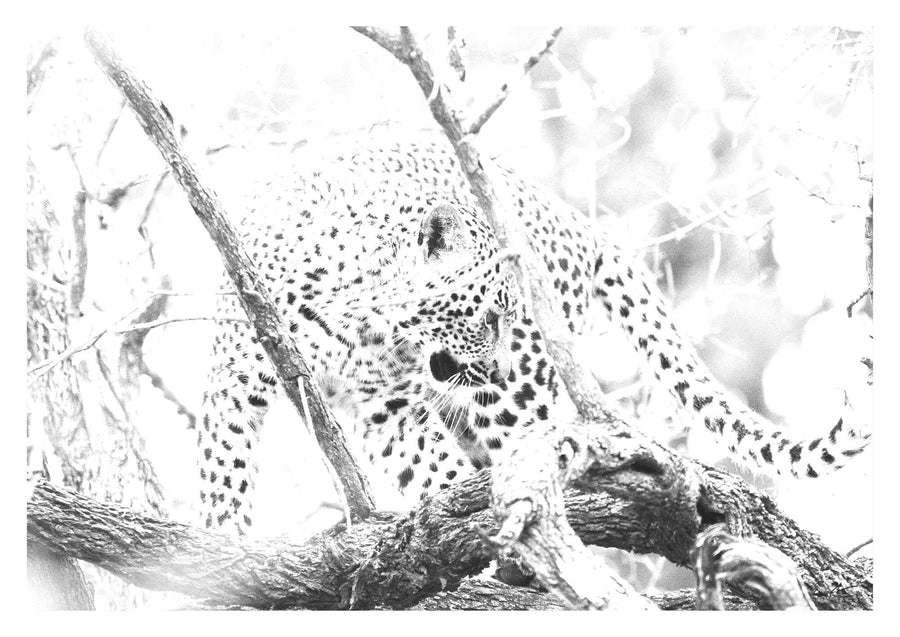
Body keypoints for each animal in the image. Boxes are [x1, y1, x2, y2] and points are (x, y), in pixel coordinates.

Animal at [197, 127, 870, 537]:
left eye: (509, 314)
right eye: (488, 312)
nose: (497, 365)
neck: (360, 311)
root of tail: (574, 218)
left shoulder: (395, 406)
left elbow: (442, 476)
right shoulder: (237, 384)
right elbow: (222, 481)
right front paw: (220, 559)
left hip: (520, 401)